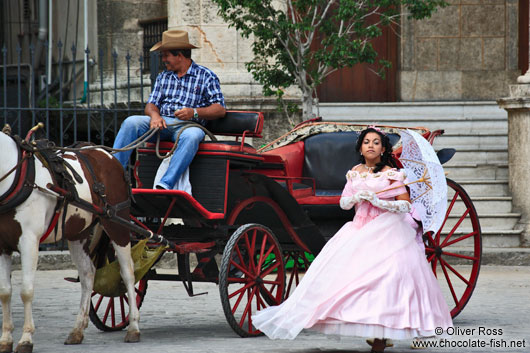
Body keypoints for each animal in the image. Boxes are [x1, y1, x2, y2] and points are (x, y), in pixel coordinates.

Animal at [0, 130, 140, 352]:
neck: (16, 177)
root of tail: (107, 154)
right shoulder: (2, 245)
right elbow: (5, 292)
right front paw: (6, 339)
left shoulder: (30, 240)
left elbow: (26, 291)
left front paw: (26, 339)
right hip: (78, 233)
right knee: (88, 273)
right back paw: (77, 330)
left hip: (117, 223)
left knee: (127, 273)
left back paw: (134, 327)